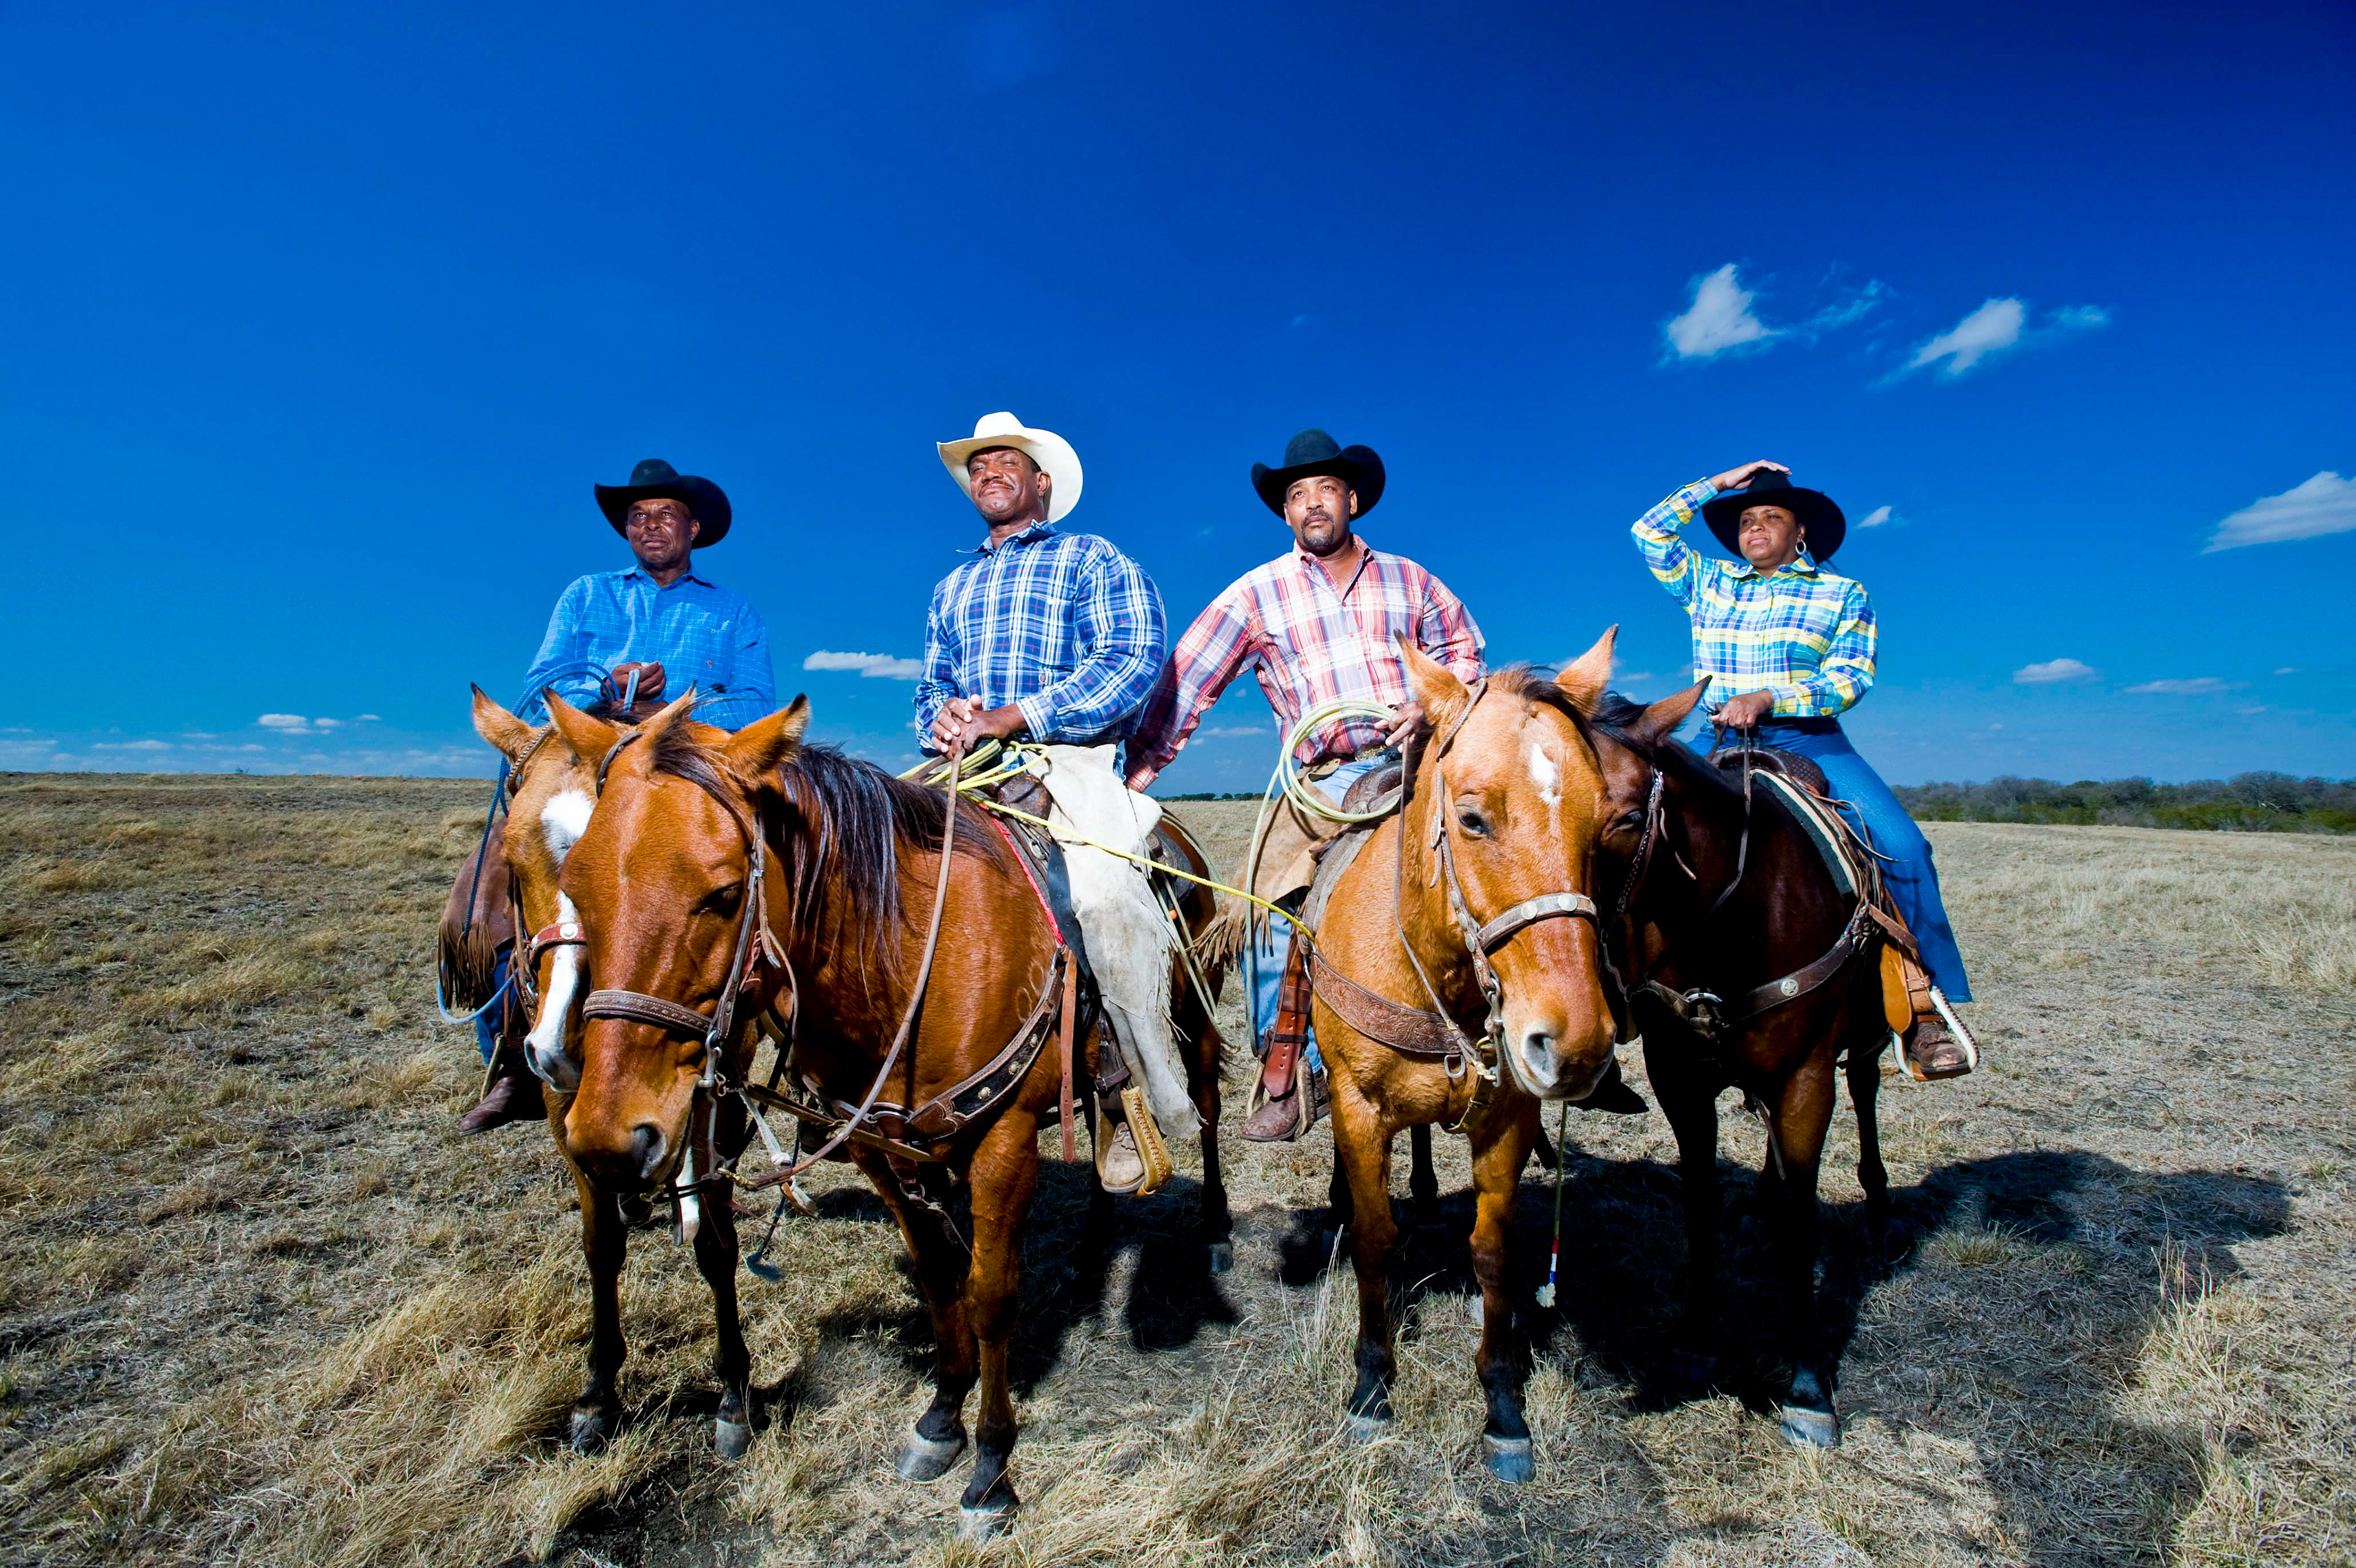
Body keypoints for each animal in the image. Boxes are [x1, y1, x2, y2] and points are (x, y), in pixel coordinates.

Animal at [539, 692, 1225, 1535]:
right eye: (575, 887)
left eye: (725, 894)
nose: (606, 1140)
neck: (909, 954)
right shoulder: (880, 1147)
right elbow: (940, 1277)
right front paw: (942, 1417)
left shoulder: (1003, 1145)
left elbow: (991, 1296)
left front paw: (992, 1472)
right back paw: (1098, 1228)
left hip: (1191, 1018)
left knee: (1209, 1104)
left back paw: (1217, 1228)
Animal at [1300, 631, 1630, 1478]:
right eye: (1474, 819)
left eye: (1603, 827)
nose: (1574, 1044)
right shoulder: (1358, 1109)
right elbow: (1376, 1243)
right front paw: (1371, 1386)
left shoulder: (1510, 1118)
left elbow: (1493, 1253)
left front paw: (1503, 1405)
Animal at [1574, 673, 1903, 1440]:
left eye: (1627, 818)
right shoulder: (1680, 1080)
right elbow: (1698, 1202)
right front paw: (1697, 1339)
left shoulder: (1806, 1077)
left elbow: (1806, 1220)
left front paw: (1809, 1385)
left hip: (1863, 1040)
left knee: (1866, 1089)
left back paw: (1878, 1208)